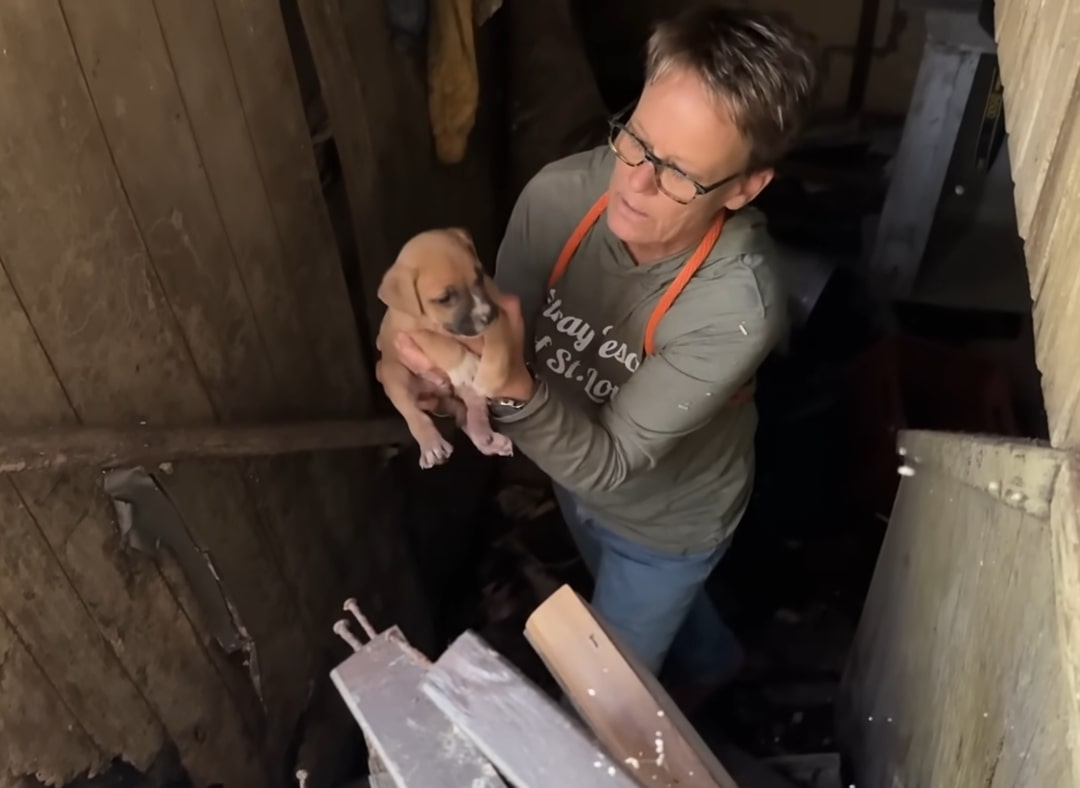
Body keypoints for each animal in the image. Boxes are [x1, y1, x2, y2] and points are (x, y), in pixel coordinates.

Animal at [378, 225, 516, 466]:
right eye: (444, 298)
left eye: (480, 276)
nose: (487, 316)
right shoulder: (407, 330)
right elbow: (436, 340)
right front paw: (464, 365)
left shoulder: (499, 311)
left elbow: (500, 344)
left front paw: (491, 376)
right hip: (394, 376)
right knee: (415, 415)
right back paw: (432, 445)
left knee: (471, 414)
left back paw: (488, 440)